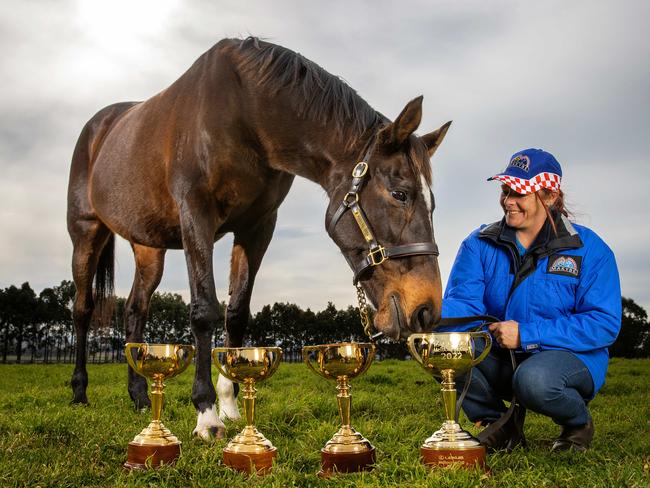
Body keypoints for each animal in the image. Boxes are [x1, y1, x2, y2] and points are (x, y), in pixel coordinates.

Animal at [67, 36, 450, 436]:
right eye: (400, 194)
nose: (426, 310)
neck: (244, 113)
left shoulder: (257, 225)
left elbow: (236, 313)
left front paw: (230, 405)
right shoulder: (196, 216)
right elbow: (204, 310)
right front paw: (206, 413)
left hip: (148, 247)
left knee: (134, 311)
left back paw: (141, 397)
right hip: (86, 233)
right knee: (83, 308)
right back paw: (79, 392)